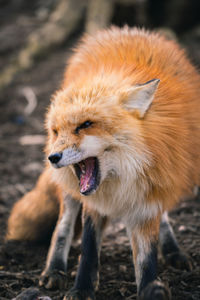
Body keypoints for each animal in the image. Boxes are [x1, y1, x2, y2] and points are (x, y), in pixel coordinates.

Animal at [6, 27, 200, 298]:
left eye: (86, 124)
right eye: (56, 131)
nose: (52, 158)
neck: (123, 175)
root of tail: (123, 29)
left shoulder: (151, 190)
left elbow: (146, 256)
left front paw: (150, 288)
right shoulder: (93, 202)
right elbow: (88, 246)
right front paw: (82, 289)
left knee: (162, 217)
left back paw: (173, 251)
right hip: (69, 192)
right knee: (63, 225)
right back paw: (54, 270)